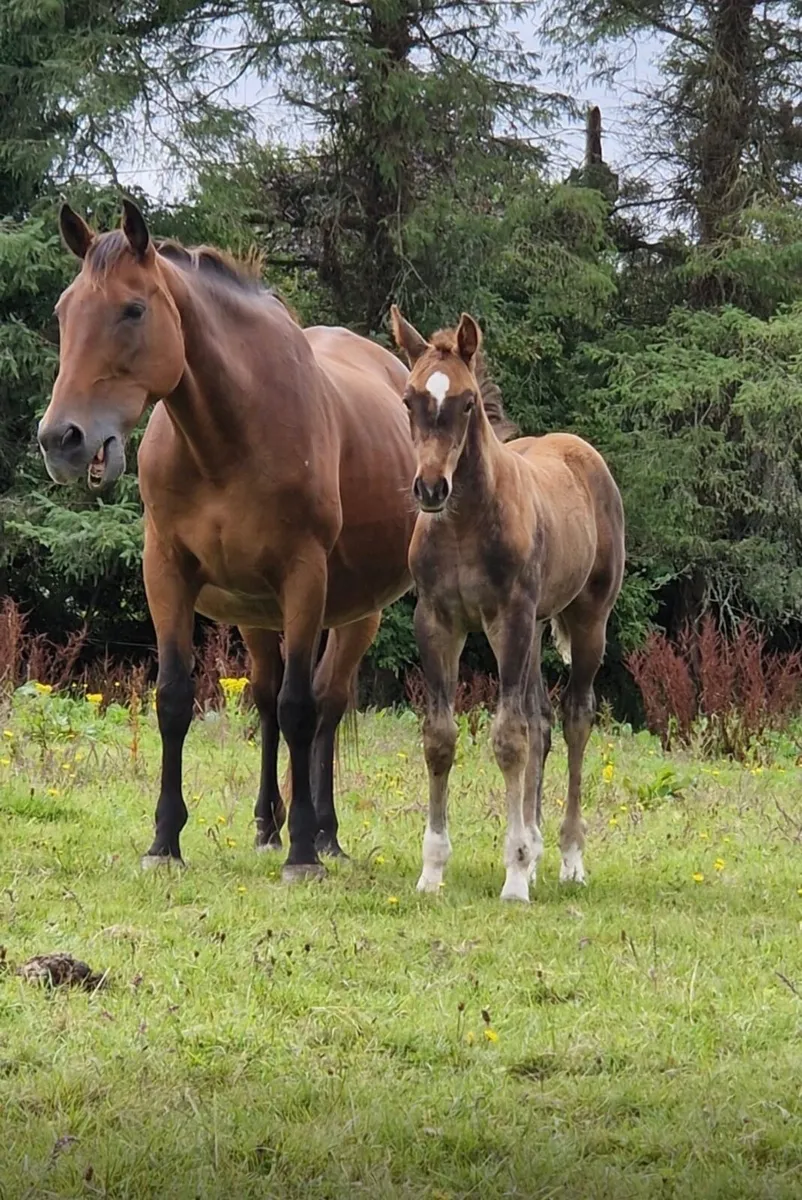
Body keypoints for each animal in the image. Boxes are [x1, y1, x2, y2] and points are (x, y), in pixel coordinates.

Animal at [37, 199, 417, 882]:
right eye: (63, 310)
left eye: (133, 310)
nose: (61, 440)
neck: (230, 438)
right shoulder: (167, 572)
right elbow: (175, 698)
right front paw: (164, 842)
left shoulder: (303, 577)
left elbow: (301, 708)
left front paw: (303, 855)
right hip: (256, 614)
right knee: (266, 700)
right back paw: (269, 825)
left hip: (355, 615)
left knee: (325, 705)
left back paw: (323, 835)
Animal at [390, 306, 625, 902]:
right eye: (409, 398)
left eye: (467, 401)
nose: (431, 488)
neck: (465, 525)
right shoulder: (437, 621)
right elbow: (441, 737)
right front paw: (432, 870)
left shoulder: (510, 619)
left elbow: (509, 738)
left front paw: (515, 875)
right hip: (538, 627)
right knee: (543, 722)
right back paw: (540, 852)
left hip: (586, 620)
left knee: (574, 719)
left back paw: (567, 858)